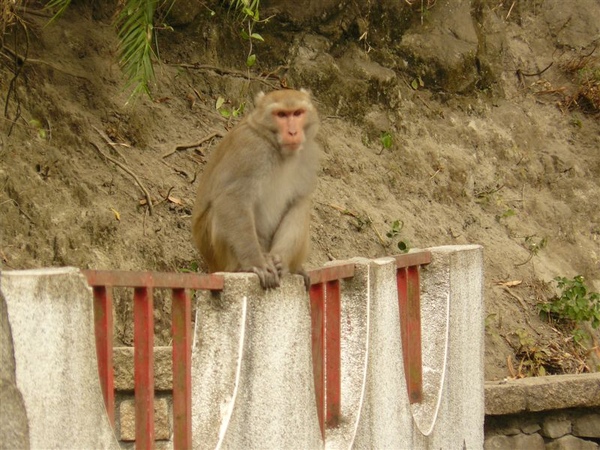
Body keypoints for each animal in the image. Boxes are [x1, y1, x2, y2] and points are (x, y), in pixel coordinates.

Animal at [195, 89, 322, 290]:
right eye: (281, 115)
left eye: (297, 113)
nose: (293, 132)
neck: (277, 148)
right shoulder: (250, 151)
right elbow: (232, 199)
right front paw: (256, 263)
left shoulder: (308, 154)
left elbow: (298, 201)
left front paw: (281, 262)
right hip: (217, 255)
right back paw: (240, 268)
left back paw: (293, 267)